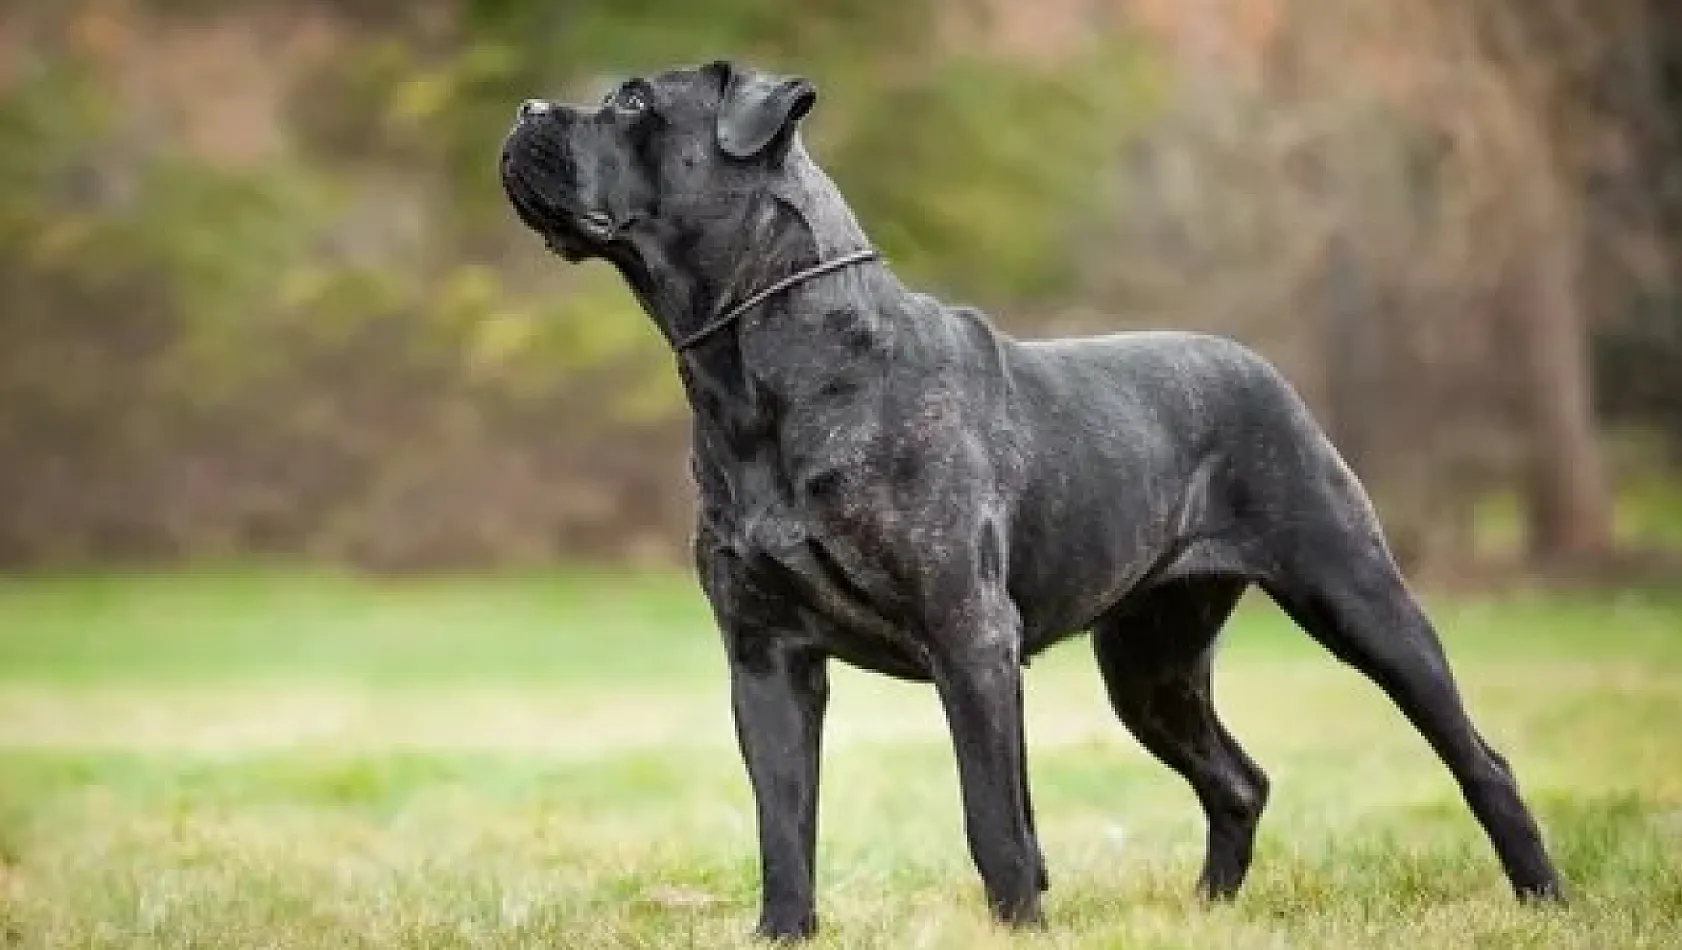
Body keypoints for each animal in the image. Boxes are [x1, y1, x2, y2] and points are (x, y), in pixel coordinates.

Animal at [494, 60, 1560, 941]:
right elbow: (784, 822)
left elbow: (996, 822)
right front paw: (782, 934)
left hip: (1357, 598)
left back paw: (1541, 897)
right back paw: (1207, 913)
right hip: (1149, 664)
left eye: (635, 101)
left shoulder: (971, 638)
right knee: (1236, 780)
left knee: (1477, 757)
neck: (759, 369)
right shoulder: (765, 656)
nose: (527, 110)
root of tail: (1259, 366)